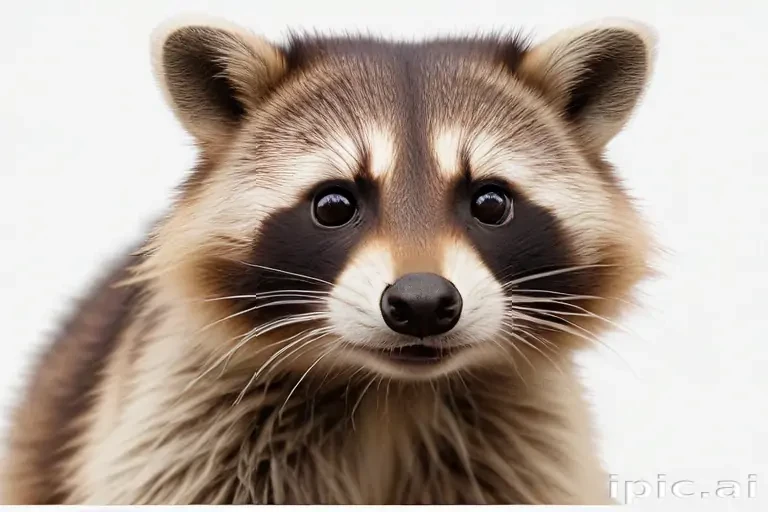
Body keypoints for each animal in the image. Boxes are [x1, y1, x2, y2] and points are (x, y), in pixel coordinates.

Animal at [1, 15, 656, 505]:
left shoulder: (529, 448)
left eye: (490, 203)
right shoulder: (184, 433)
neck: (391, 393)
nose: (422, 303)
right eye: (334, 204)